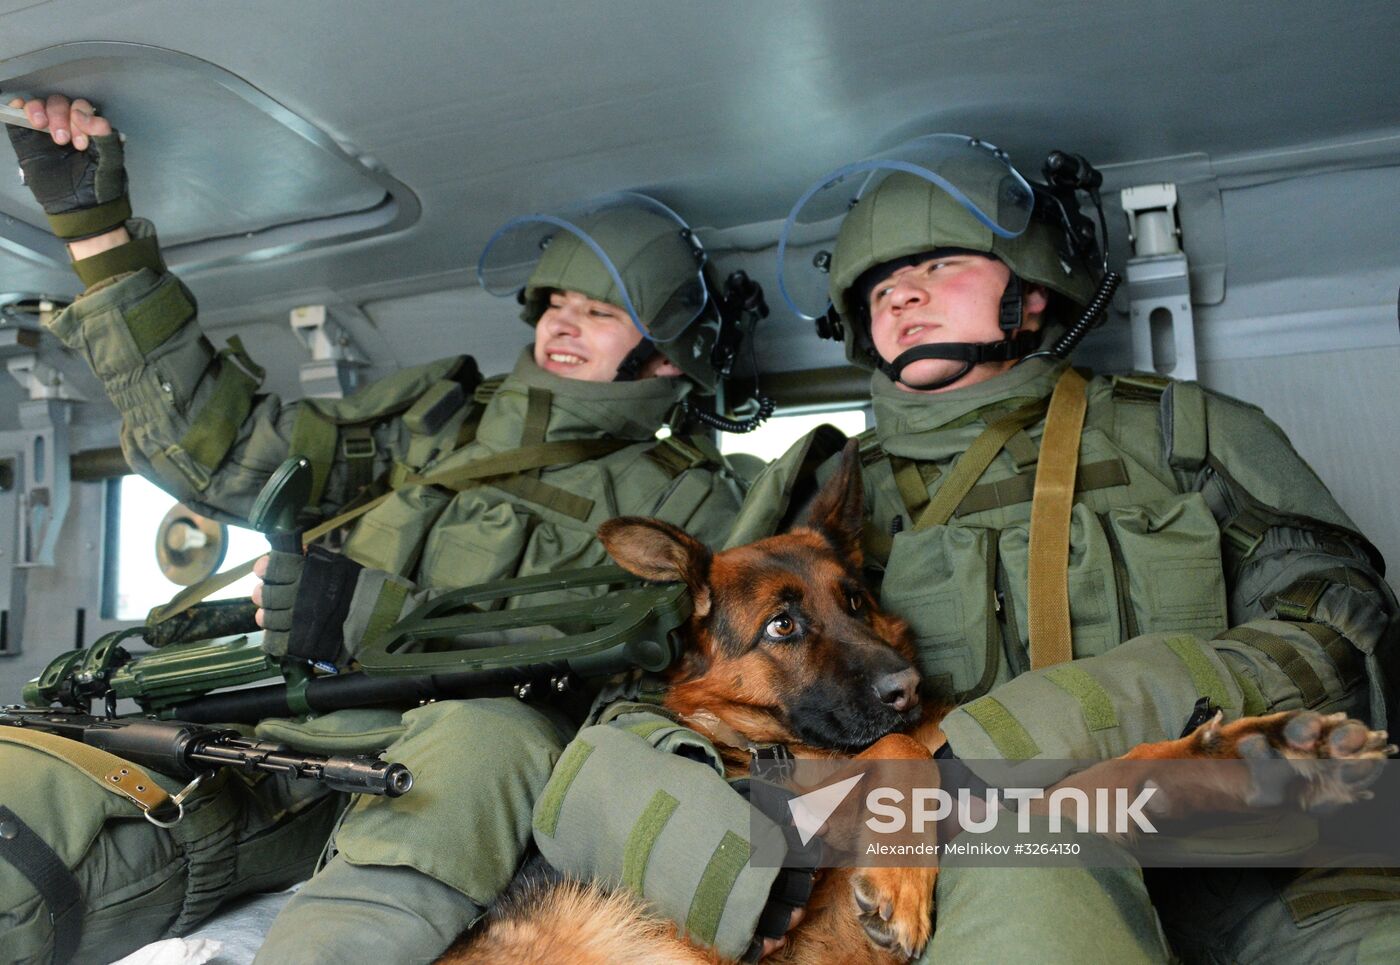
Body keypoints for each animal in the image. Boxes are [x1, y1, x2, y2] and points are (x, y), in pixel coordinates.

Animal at [448, 442, 1388, 963]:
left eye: (856, 600)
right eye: (783, 624)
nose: (906, 687)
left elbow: (1093, 783)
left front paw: (1257, 752)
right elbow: (902, 757)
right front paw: (900, 875)